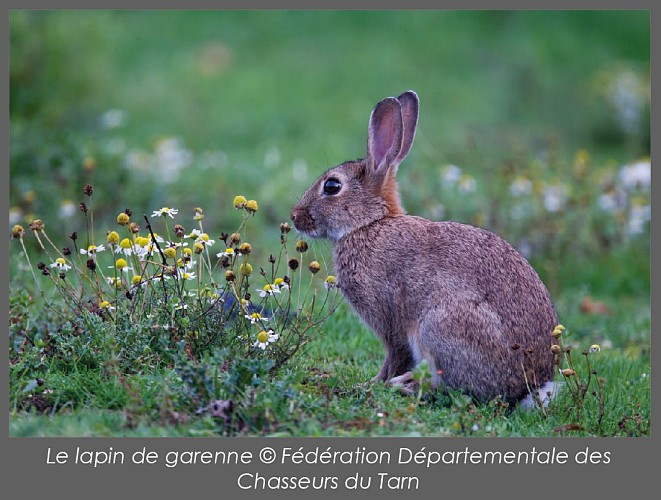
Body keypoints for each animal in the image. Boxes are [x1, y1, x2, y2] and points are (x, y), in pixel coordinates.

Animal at [290, 91, 559, 405]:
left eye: (332, 186)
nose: (294, 216)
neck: (370, 223)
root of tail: (530, 388)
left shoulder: (391, 320)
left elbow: (395, 356)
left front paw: (371, 384)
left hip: (439, 325)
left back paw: (405, 385)